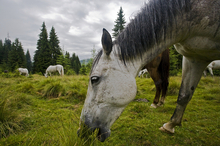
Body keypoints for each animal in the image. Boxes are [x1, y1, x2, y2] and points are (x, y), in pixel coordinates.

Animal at [77, 0, 220, 141]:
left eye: (94, 79)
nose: (81, 131)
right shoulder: (194, 58)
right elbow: (184, 95)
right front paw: (170, 125)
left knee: (159, 83)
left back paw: (156, 103)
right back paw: (160, 102)